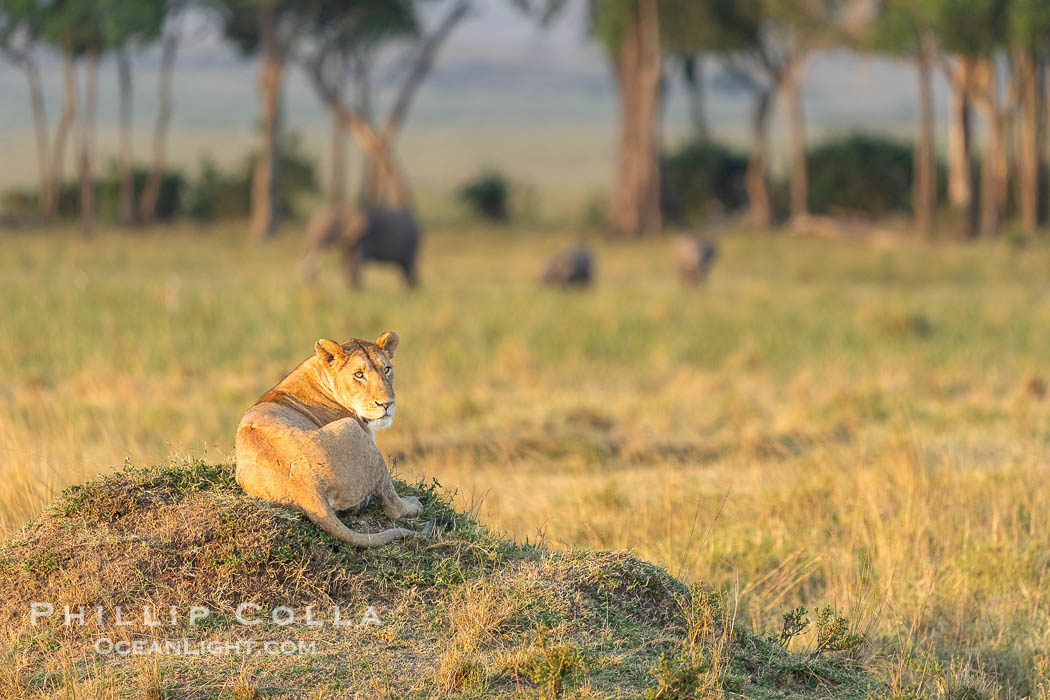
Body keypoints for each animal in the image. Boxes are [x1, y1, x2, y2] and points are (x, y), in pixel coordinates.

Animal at [235, 331, 434, 547]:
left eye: (387, 369)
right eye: (359, 374)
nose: (387, 404)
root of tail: (309, 490)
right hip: (355, 432)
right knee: (392, 505)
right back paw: (412, 504)